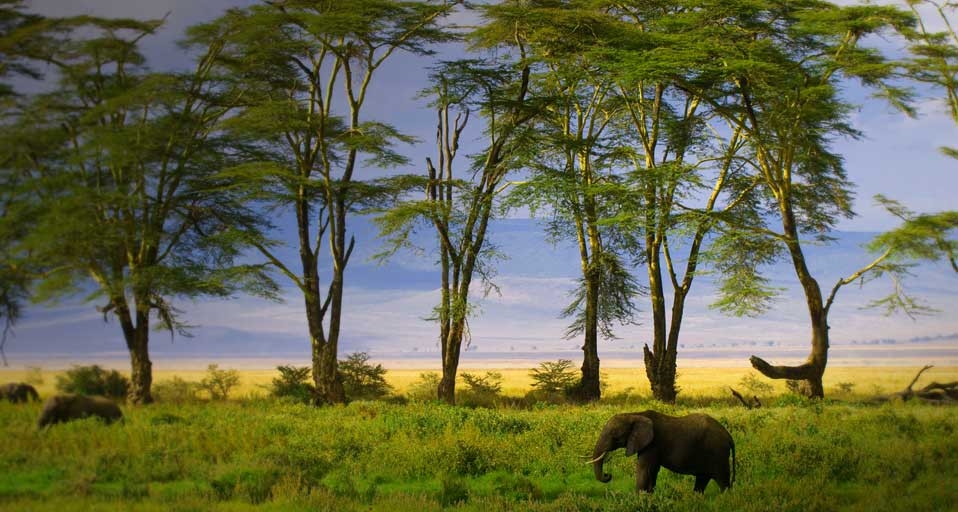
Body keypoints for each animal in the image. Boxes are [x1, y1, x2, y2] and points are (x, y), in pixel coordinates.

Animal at [591, 410, 735, 494]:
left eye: (614, 435)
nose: (608, 475)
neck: (635, 414)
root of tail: (729, 436)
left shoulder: (652, 444)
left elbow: (644, 469)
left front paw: (639, 499)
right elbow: (652, 471)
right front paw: (649, 496)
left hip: (718, 453)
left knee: (723, 482)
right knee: (702, 480)